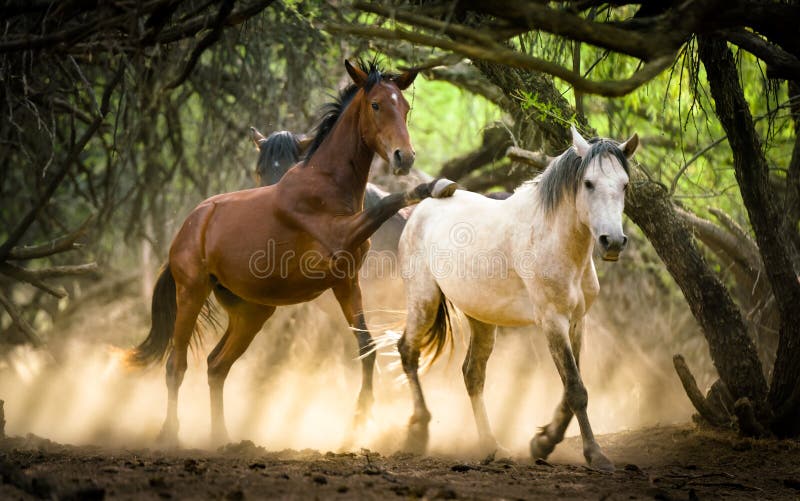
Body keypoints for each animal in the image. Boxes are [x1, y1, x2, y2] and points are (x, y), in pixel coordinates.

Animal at [128, 59, 460, 446]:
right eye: (376, 105)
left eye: (405, 107)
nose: (403, 158)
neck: (325, 185)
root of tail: (189, 226)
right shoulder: (340, 238)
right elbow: (388, 203)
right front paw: (434, 185)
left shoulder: (346, 282)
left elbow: (366, 346)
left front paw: (362, 420)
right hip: (192, 293)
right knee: (176, 363)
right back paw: (170, 434)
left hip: (252, 311)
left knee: (216, 365)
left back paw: (222, 438)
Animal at [398, 127, 636, 470]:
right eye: (588, 183)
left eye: (625, 184)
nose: (613, 242)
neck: (556, 241)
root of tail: (422, 209)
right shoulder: (552, 321)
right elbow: (575, 389)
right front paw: (595, 454)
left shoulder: (577, 322)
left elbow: (571, 387)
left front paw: (543, 442)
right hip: (423, 301)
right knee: (408, 352)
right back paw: (420, 430)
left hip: (481, 319)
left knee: (472, 374)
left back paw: (491, 446)